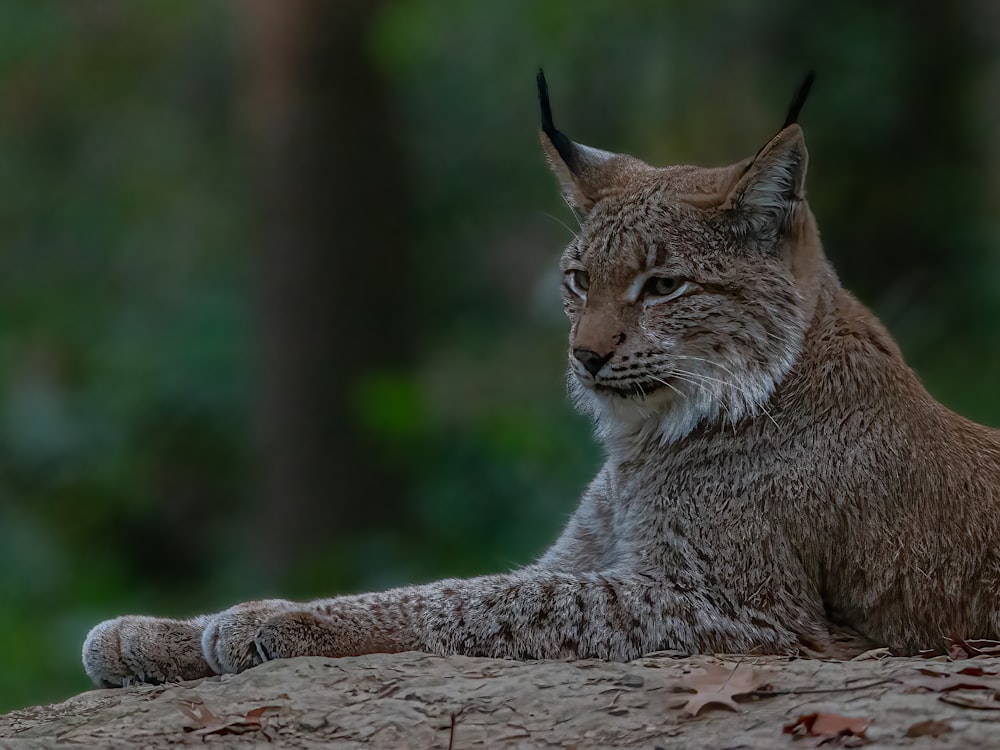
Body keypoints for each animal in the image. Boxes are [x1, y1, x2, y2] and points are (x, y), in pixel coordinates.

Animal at [84, 73, 1000, 692]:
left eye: (664, 287)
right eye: (577, 280)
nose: (585, 358)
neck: (648, 439)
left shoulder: (739, 608)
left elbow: (475, 602)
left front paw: (278, 620)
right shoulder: (593, 554)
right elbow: (451, 585)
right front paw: (155, 635)